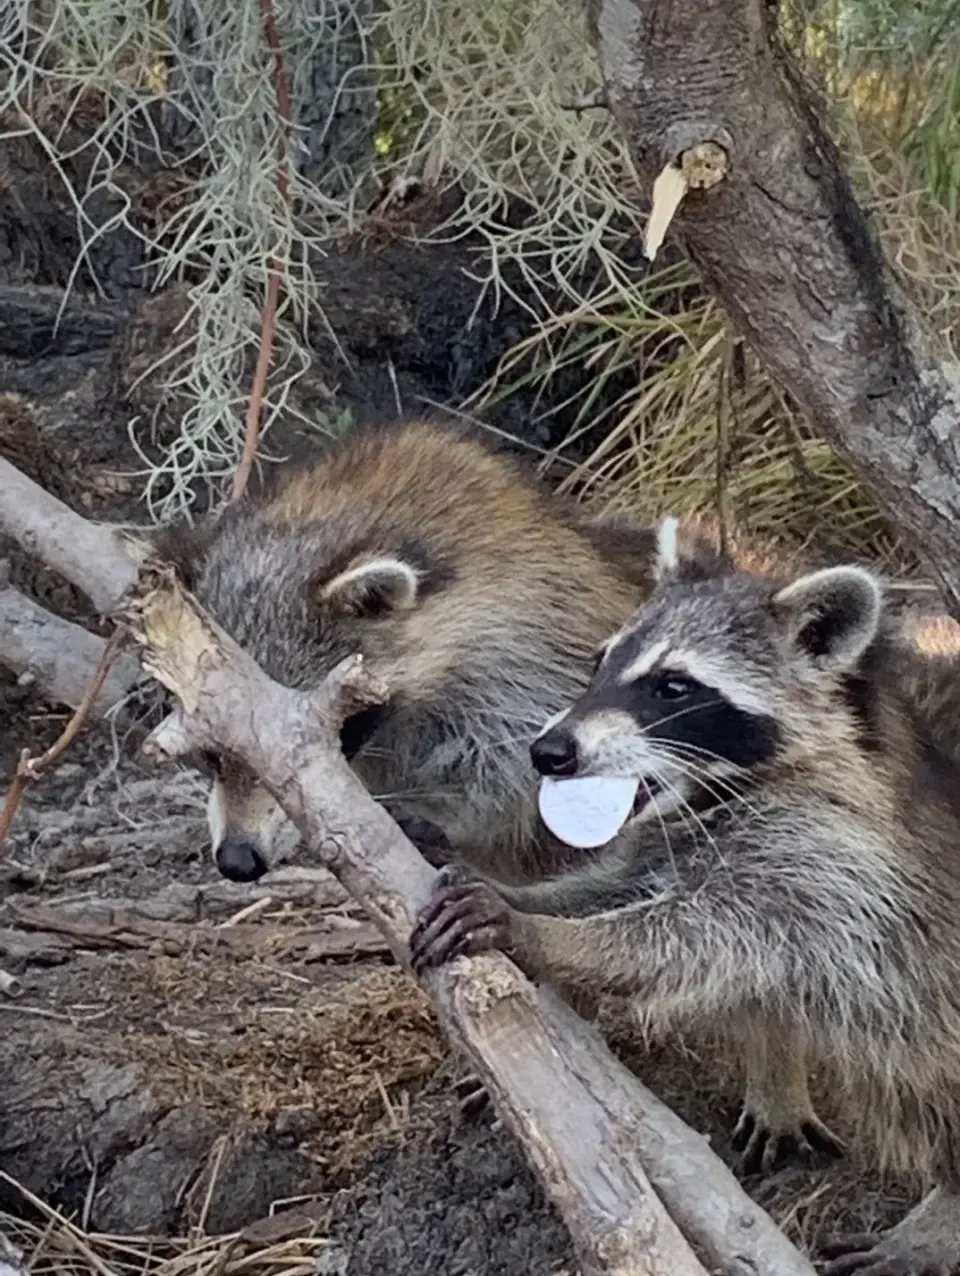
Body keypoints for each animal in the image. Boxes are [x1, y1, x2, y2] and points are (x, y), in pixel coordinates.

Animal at [411, 519, 960, 1275]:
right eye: (600, 665)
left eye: (673, 687)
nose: (548, 752)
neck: (717, 795)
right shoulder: (675, 843)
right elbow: (611, 885)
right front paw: (523, 895)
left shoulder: (828, 866)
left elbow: (694, 939)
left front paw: (534, 931)